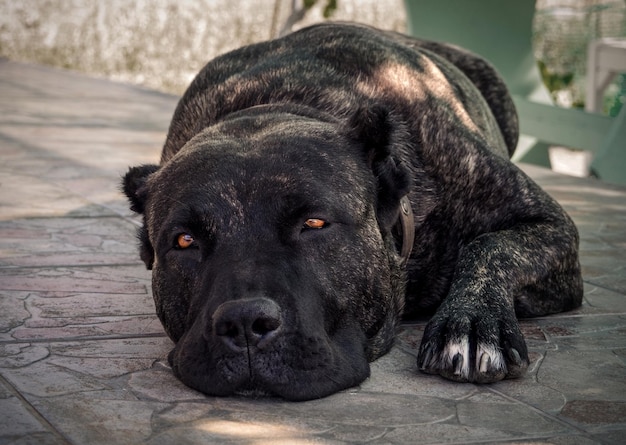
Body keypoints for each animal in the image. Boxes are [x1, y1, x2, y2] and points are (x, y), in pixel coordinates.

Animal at [122, 22, 580, 400]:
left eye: (314, 223)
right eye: (185, 241)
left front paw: (471, 323)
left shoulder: (551, 226)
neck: (283, 102)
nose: (244, 321)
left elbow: (490, 247)